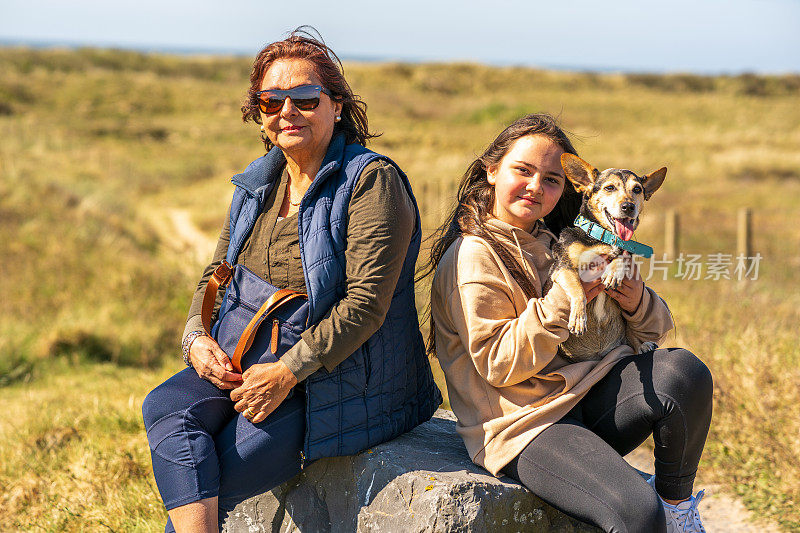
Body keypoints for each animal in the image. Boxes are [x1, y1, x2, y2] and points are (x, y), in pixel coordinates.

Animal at [552, 154, 668, 362]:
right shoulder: (562, 267)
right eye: (610, 188)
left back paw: (642, 345)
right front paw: (579, 318)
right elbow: (577, 287)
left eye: (637, 189)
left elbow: (622, 255)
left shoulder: (626, 250)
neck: (603, 238)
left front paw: (613, 273)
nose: (628, 206)